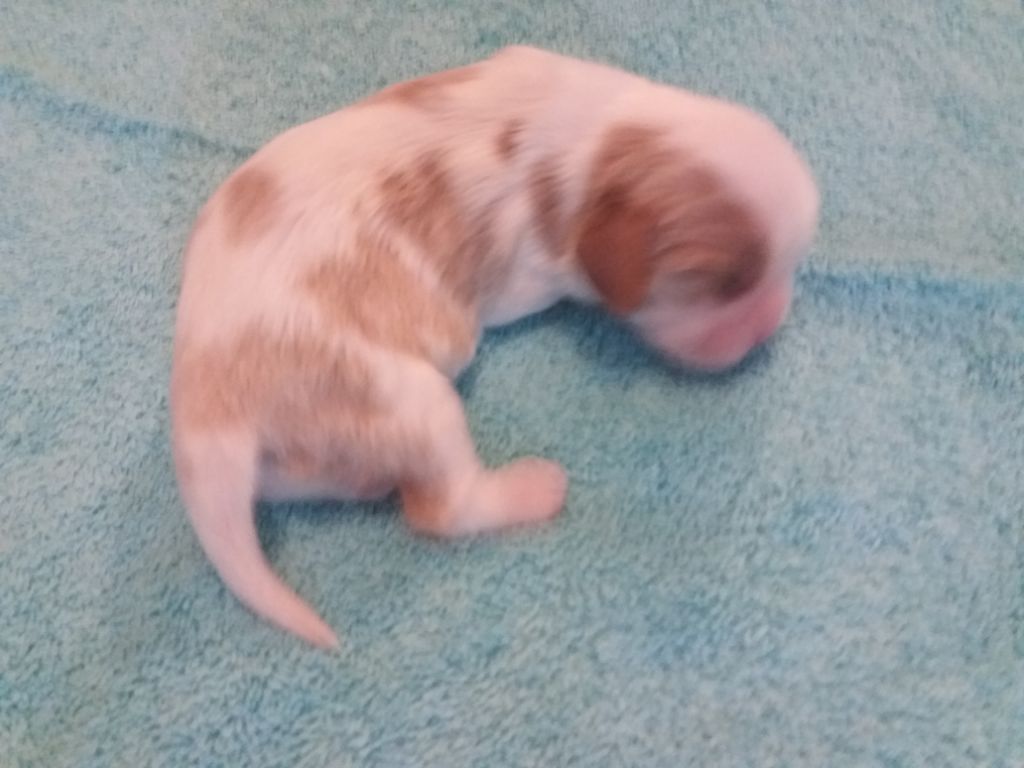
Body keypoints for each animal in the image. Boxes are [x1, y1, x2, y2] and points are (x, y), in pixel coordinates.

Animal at [171, 45, 819, 647]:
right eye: (723, 286)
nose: (770, 326)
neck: (598, 141)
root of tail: (207, 426)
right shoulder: (530, 273)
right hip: (409, 403)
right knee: (443, 509)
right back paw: (533, 489)